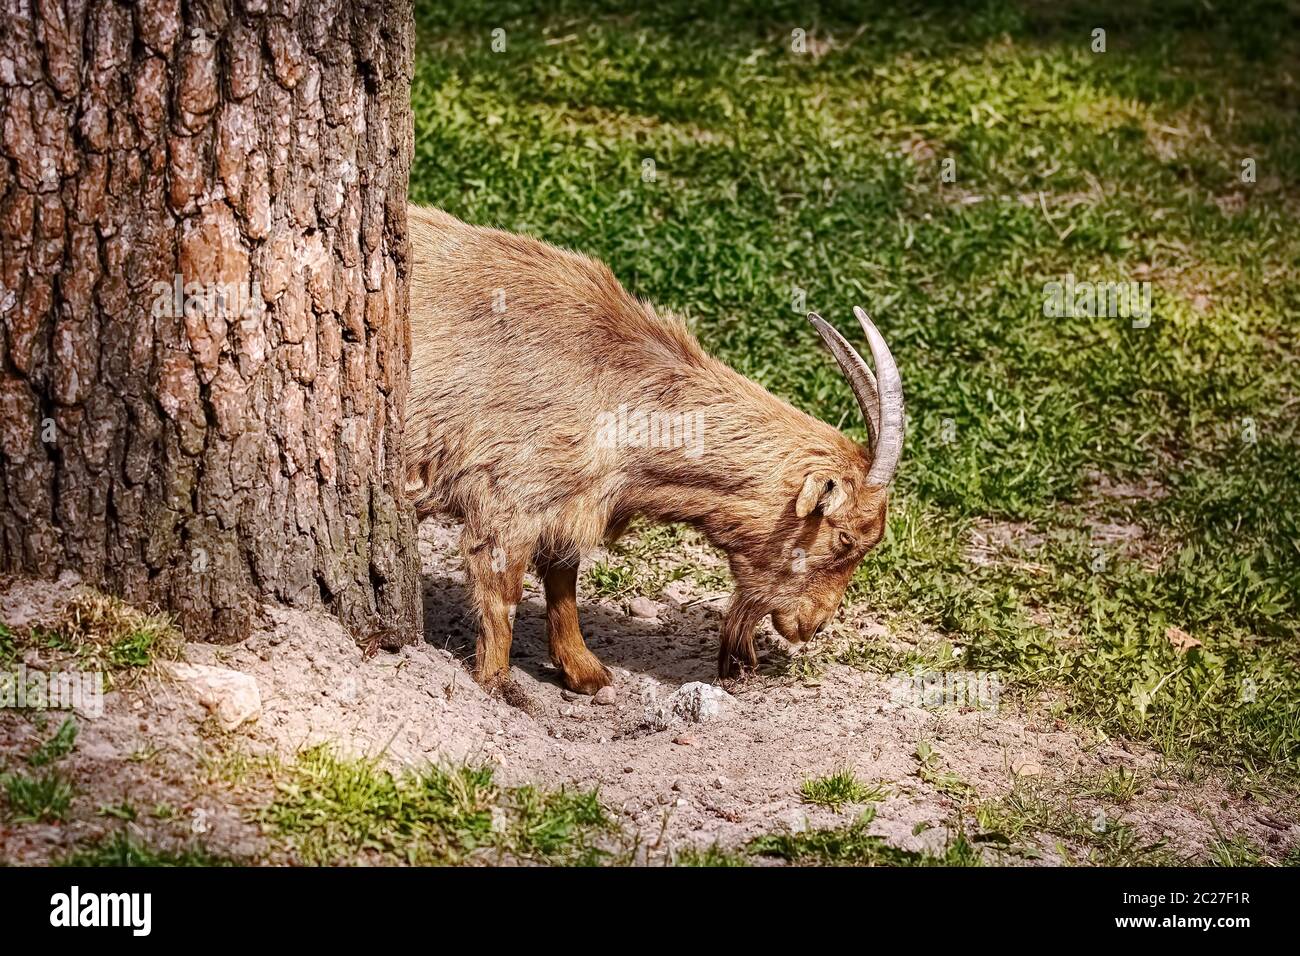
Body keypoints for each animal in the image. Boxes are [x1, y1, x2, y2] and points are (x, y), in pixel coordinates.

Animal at [405, 204, 905, 693]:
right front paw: (497, 685)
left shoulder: (570, 505)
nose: (812, 625)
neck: (612, 379)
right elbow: (501, 595)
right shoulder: (508, 497)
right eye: (845, 538)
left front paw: (585, 673)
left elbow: (563, 580)